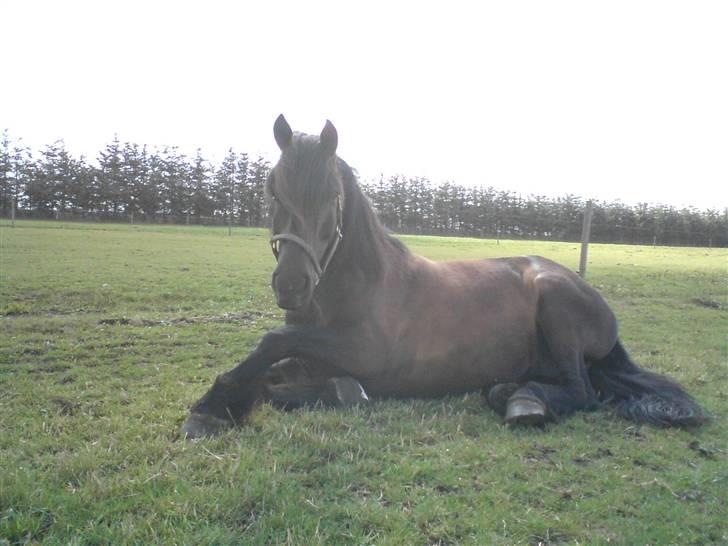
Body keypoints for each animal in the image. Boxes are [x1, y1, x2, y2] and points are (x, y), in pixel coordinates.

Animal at [179, 116, 708, 438]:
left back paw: (524, 402)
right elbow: (274, 368)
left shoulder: (366, 351)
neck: (361, 286)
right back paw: (512, 391)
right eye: (273, 192)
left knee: (584, 392)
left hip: (556, 306)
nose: (291, 285)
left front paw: (210, 407)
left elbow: (271, 342)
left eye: (331, 196)